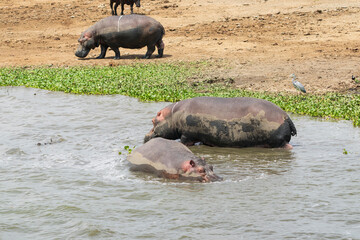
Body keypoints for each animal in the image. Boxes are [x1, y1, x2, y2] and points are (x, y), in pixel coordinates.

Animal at [144, 96, 298, 149]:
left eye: (153, 121)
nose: (145, 136)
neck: (173, 114)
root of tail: (286, 116)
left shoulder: (187, 135)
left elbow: (184, 141)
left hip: (276, 141)